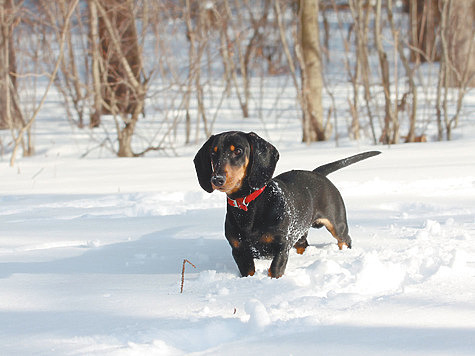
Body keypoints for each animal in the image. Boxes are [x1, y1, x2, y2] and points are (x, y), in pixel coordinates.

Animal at [193, 131, 380, 278]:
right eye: (213, 154)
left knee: (345, 239)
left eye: (238, 151)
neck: (248, 206)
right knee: (303, 245)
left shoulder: (281, 247)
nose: (216, 179)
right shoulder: (240, 252)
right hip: (300, 234)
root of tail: (318, 174)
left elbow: (275, 270)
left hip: (337, 225)